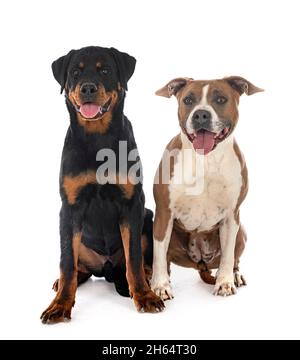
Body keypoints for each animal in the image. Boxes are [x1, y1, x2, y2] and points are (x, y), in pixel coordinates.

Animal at [40, 45, 164, 324]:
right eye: (75, 72)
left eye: (105, 70)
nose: (87, 87)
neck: (97, 139)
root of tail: (106, 269)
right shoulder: (70, 207)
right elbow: (66, 262)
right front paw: (60, 305)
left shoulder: (132, 204)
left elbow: (134, 258)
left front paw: (145, 296)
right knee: (75, 266)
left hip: (148, 217)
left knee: (136, 261)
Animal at [150, 76, 262, 298]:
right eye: (188, 100)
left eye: (220, 99)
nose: (201, 114)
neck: (206, 159)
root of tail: (200, 263)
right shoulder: (164, 213)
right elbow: (159, 255)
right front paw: (160, 286)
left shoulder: (231, 215)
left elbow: (228, 256)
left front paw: (225, 283)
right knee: (165, 259)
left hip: (241, 232)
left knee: (234, 258)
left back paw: (234, 276)